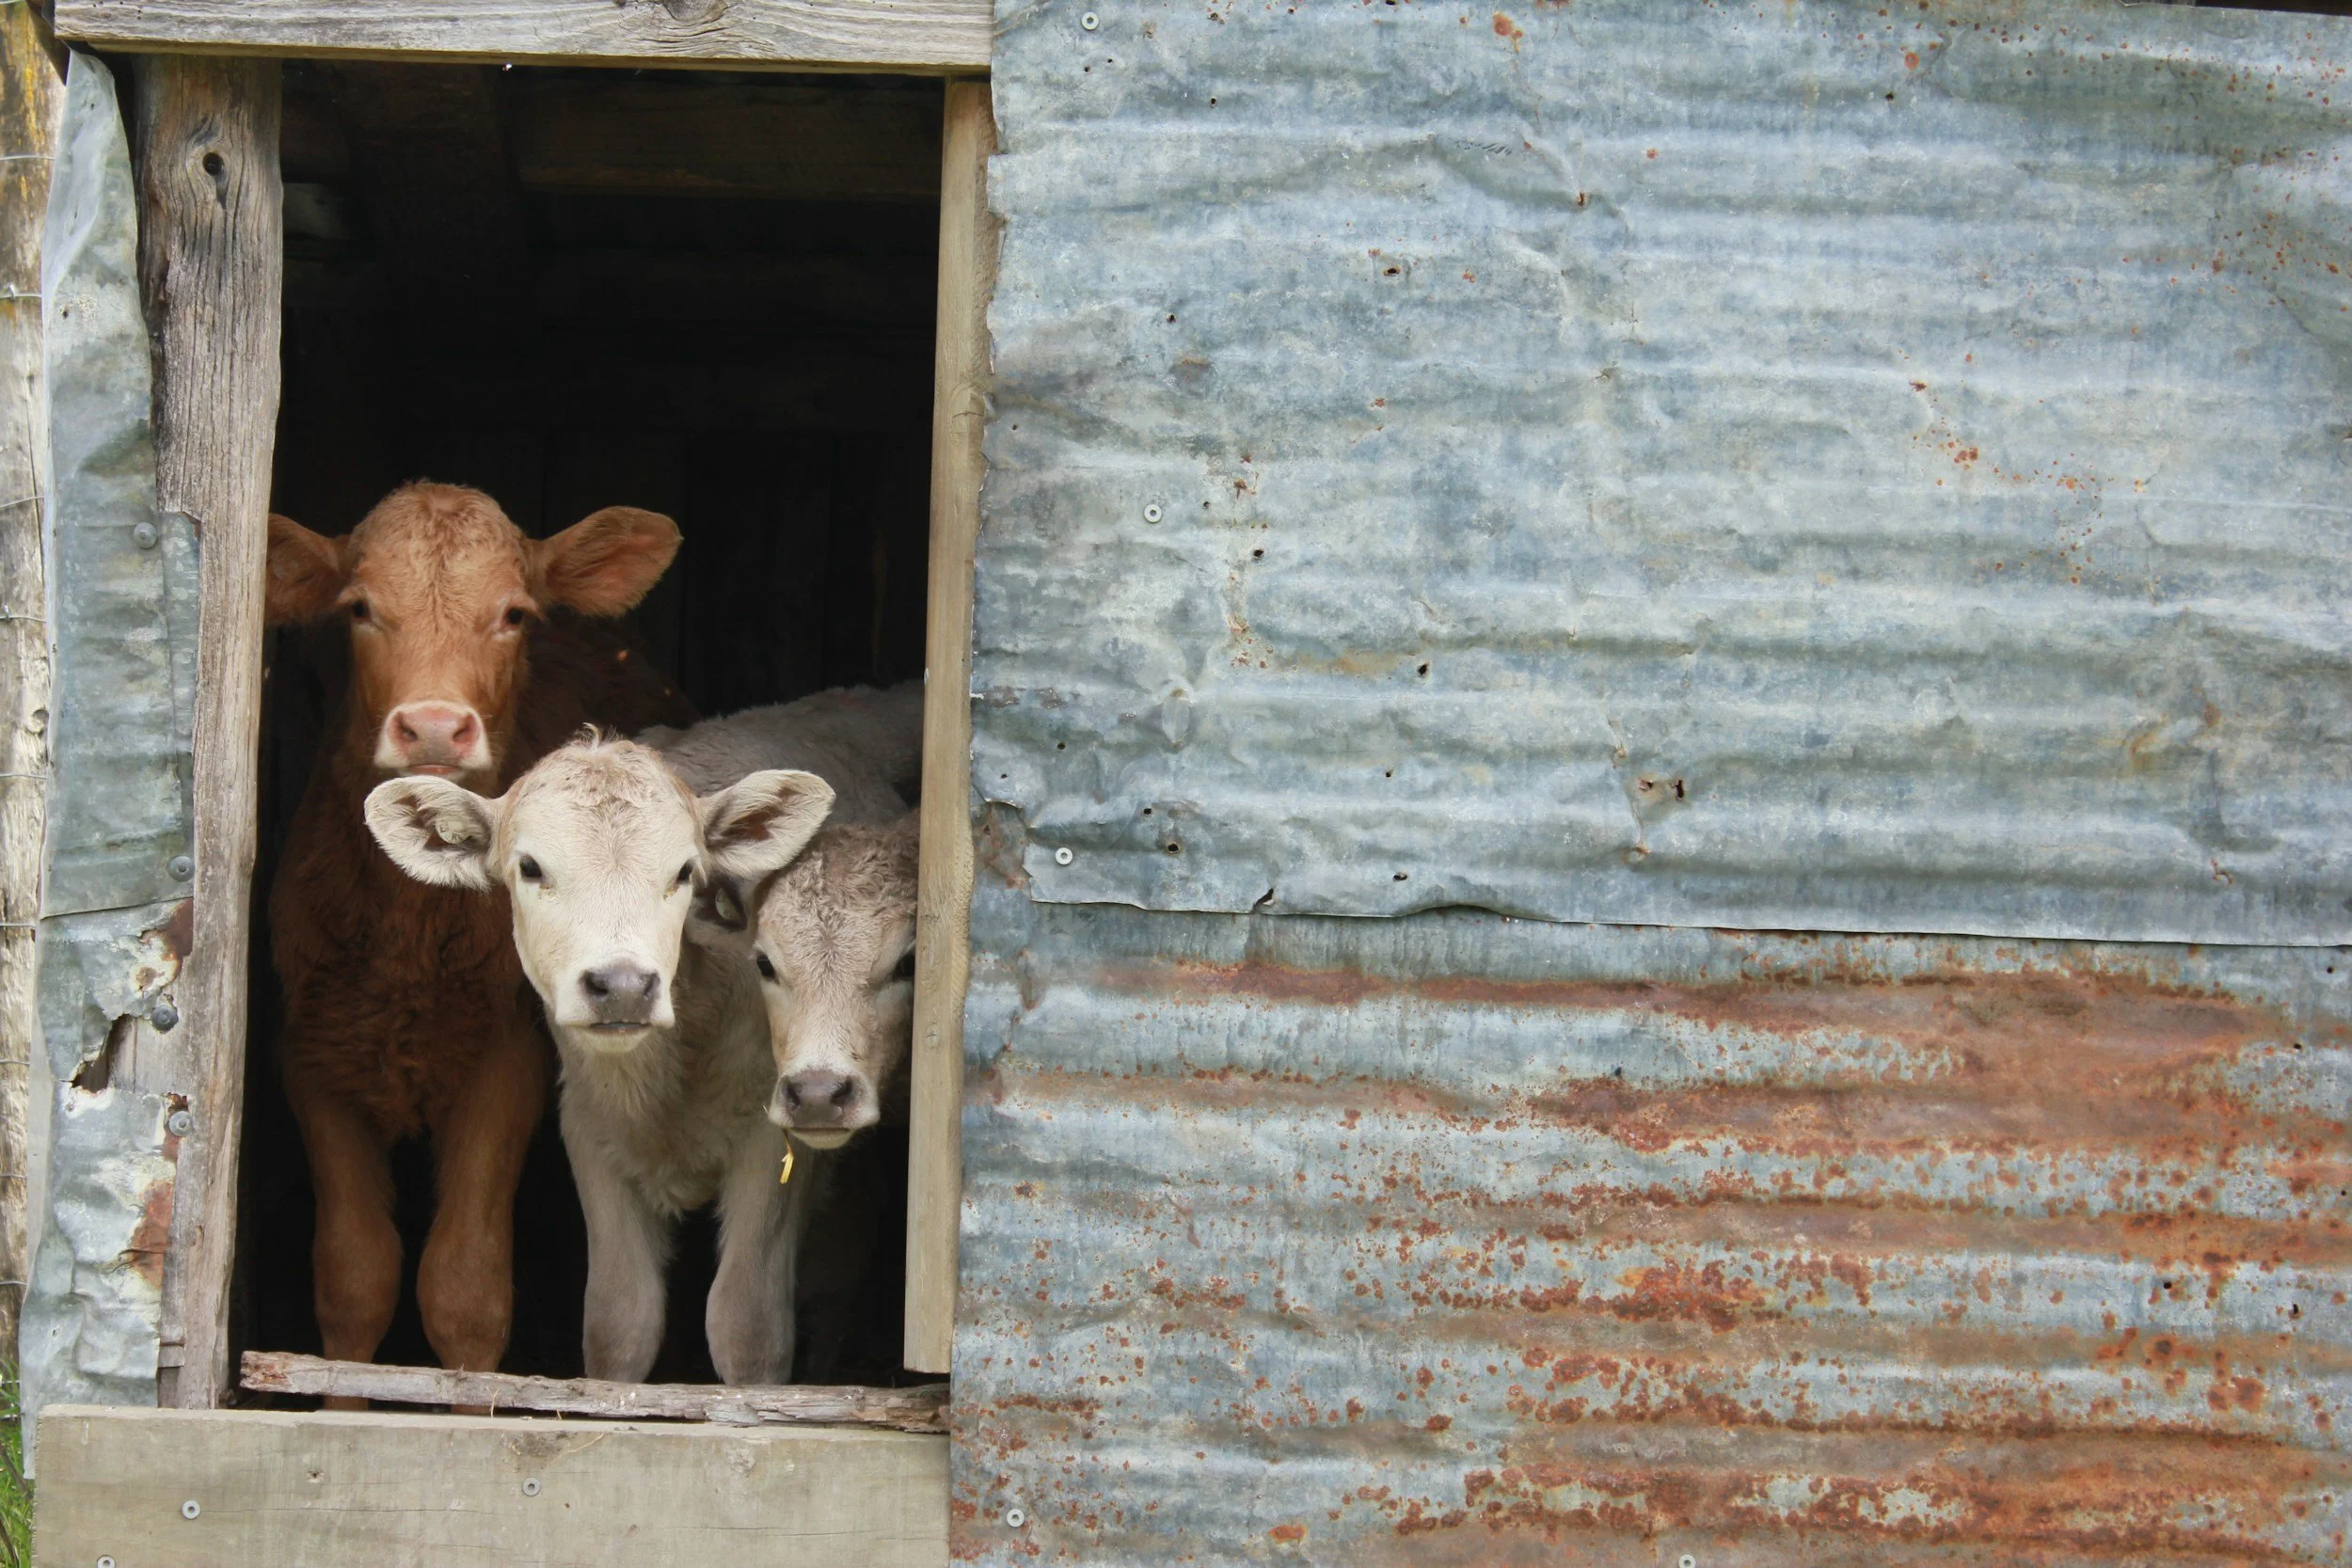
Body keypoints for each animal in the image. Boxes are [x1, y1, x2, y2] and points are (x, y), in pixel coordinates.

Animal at [265, 481, 687, 1388]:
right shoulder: (313, 1050)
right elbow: (354, 1277)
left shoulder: (509, 1056)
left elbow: (464, 1285)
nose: (431, 726)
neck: (408, 940)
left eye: (514, 613)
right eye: (359, 608)